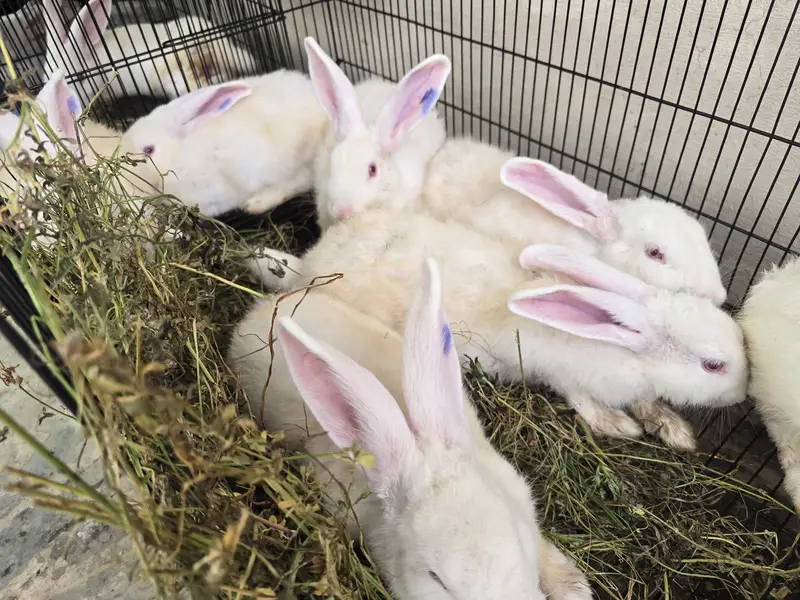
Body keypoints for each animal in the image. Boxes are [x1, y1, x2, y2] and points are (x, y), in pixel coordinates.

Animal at [247, 208, 748, 449]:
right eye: (714, 365)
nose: (744, 394)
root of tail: (310, 267)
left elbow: (652, 405)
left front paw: (675, 432)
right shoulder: (563, 374)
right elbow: (584, 402)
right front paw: (621, 427)